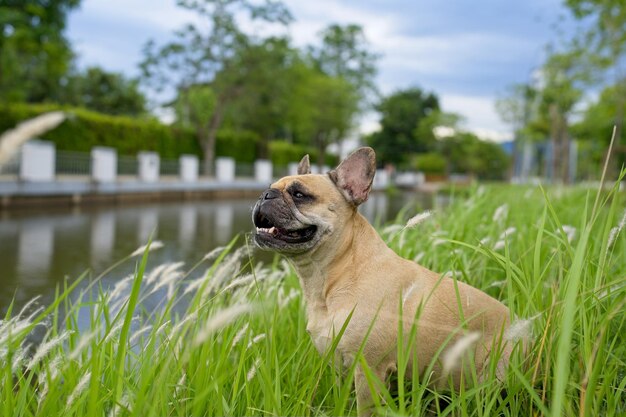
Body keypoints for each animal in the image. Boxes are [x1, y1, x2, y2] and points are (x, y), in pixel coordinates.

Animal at [251, 146, 510, 412]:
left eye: (299, 194)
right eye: (269, 187)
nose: (265, 195)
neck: (338, 272)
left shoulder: (369, 371)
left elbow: (364, 409)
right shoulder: (339, 367)